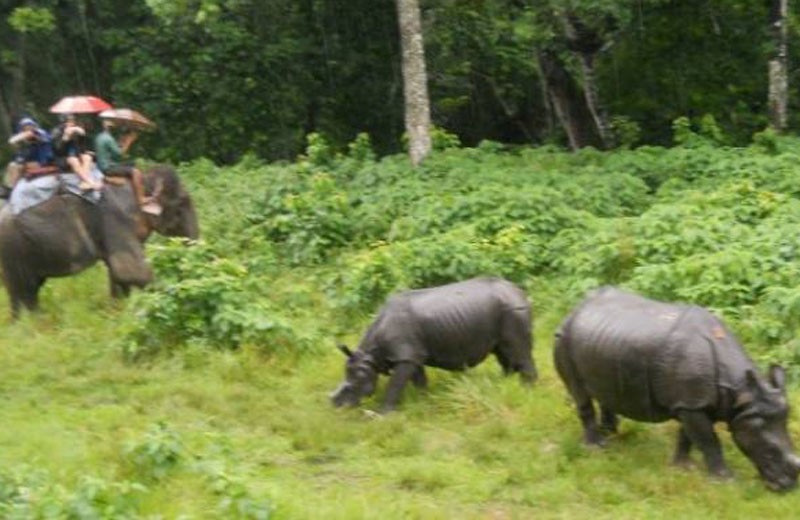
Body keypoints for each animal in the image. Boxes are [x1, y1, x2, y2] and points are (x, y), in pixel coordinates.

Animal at [0, 165, 199, 316]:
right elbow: (129, 270)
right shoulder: (115, 218)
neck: (140, 184)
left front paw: (117, 312)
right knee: (23, 291)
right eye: (181, 204)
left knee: (30, 290)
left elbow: (118, 274)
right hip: (12, 249)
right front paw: (176, 293)